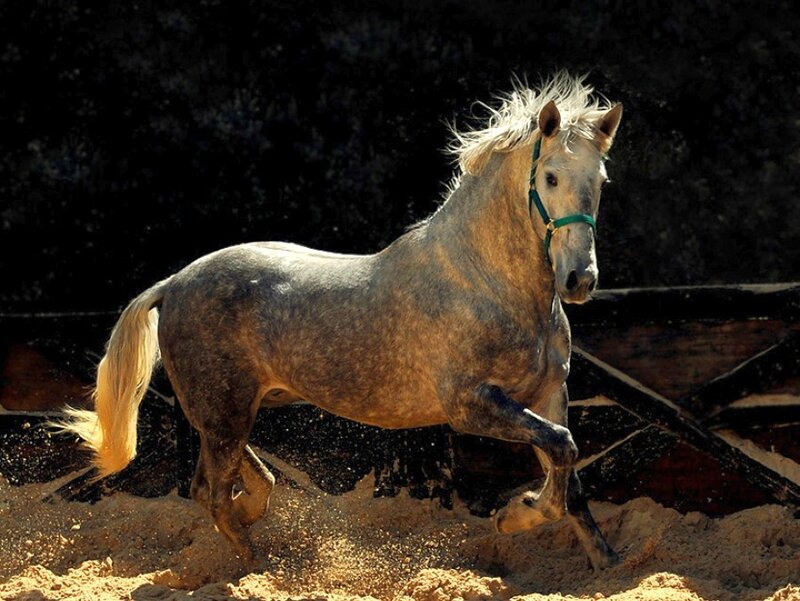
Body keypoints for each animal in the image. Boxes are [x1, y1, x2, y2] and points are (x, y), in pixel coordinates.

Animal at [57, 73, 623, 570]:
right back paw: (253, 567)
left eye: (600, 181)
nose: (580, 280)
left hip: (235, 408)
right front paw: (514, 515)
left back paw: (252, 523)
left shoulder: (548, 393)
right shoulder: (470, 405)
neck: (486, 283)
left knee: (238, 481)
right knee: (210, 490)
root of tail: (172, 283)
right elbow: (561, 448)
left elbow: (570, 474)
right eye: (550, 177)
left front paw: (606, 563)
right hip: (223, 411)